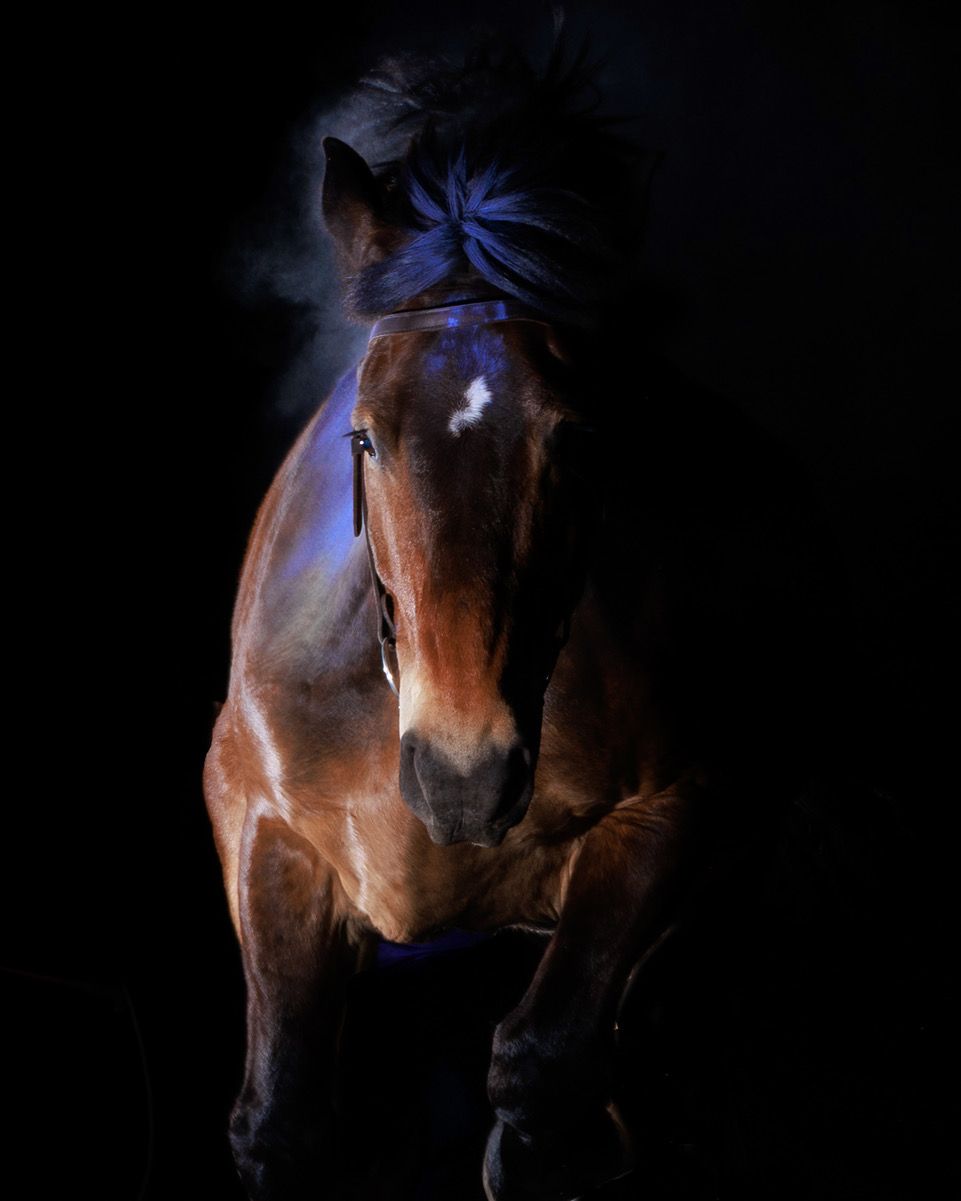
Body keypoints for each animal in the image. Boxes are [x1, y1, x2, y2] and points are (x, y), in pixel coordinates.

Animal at [204, 33, 841, 1201]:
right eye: (365, 436)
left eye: (579, 437)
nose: (464, 774)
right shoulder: (261, 821)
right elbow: (280, 1116)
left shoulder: (687, 804)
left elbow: (541, 1070)